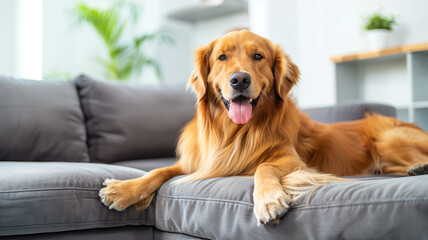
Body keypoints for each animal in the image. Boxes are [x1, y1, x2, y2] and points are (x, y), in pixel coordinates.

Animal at [98, 30, 428, 225]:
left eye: (258, 56)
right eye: (222, 57)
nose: (239, 80)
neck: (235, 132)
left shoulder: (291, 160)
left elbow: (263, 167)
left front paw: (269, 200)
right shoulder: (199, 163)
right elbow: (160, 170)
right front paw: (124, 189)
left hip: (388, 137)